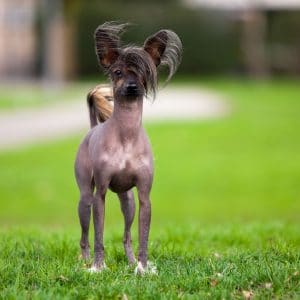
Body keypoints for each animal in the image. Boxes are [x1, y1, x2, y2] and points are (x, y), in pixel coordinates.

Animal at [74, 21, 183, 274]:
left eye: (144, 73)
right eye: (117, 72)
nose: (132, 87)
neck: (127, 134)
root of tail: (93, 128)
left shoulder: (144, 197)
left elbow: (143, 236)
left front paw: (142, 268)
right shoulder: (100, 195)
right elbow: (99, 235)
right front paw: (98, 266)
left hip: (129, 202)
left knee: (126, 235)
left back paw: (131, 261)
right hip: (85, 199)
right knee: (85, 235)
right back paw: (85, 261)